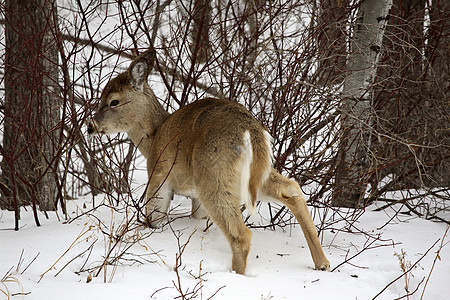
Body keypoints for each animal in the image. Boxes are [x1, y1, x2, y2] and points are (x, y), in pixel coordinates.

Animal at [89, 49, 330, 274]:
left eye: (113, 101)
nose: (91, 126)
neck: (154, 137)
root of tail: (250, 131)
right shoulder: (195, 198)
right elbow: (197, 216)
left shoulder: (159, 176)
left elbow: (154, 217)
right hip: (254, 174)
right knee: (291, 188)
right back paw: (323, 263)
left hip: (214, 174)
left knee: (241, 234)